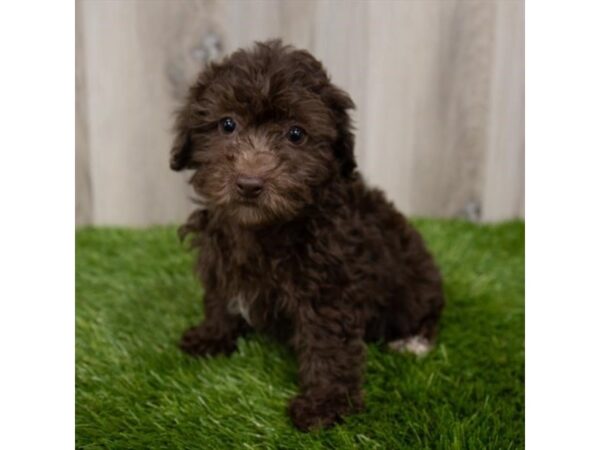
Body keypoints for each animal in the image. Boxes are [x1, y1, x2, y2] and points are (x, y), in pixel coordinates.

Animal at [171, 40, 442, 430]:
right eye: (227, 124)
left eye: (296, 134)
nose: (249, 184)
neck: (264, 227)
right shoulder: (221, 256)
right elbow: (219, 299)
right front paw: (212, 336)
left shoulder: (329, 283)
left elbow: (327, 344)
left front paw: (325, 404)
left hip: (415, 282)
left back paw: (413, 342)